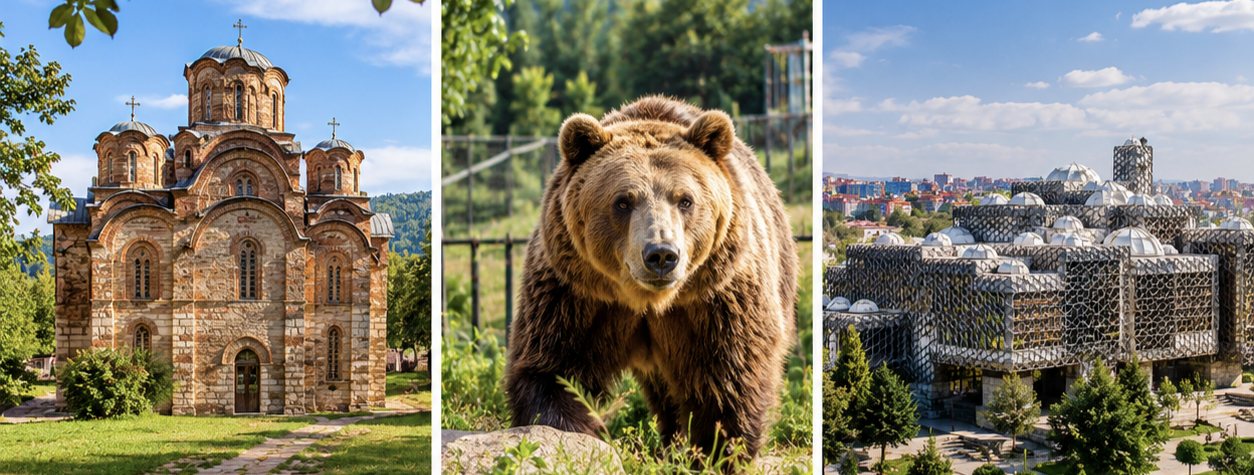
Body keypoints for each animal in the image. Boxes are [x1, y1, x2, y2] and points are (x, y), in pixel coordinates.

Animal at [505, 96, 798, 459]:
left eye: (685, 200)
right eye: (622, 201)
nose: (661, 255)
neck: (648, 301)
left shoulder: (717, 297)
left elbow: (729, 379)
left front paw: (714, 452)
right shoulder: (576, 294)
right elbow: (552, 369)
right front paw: (568, 437)